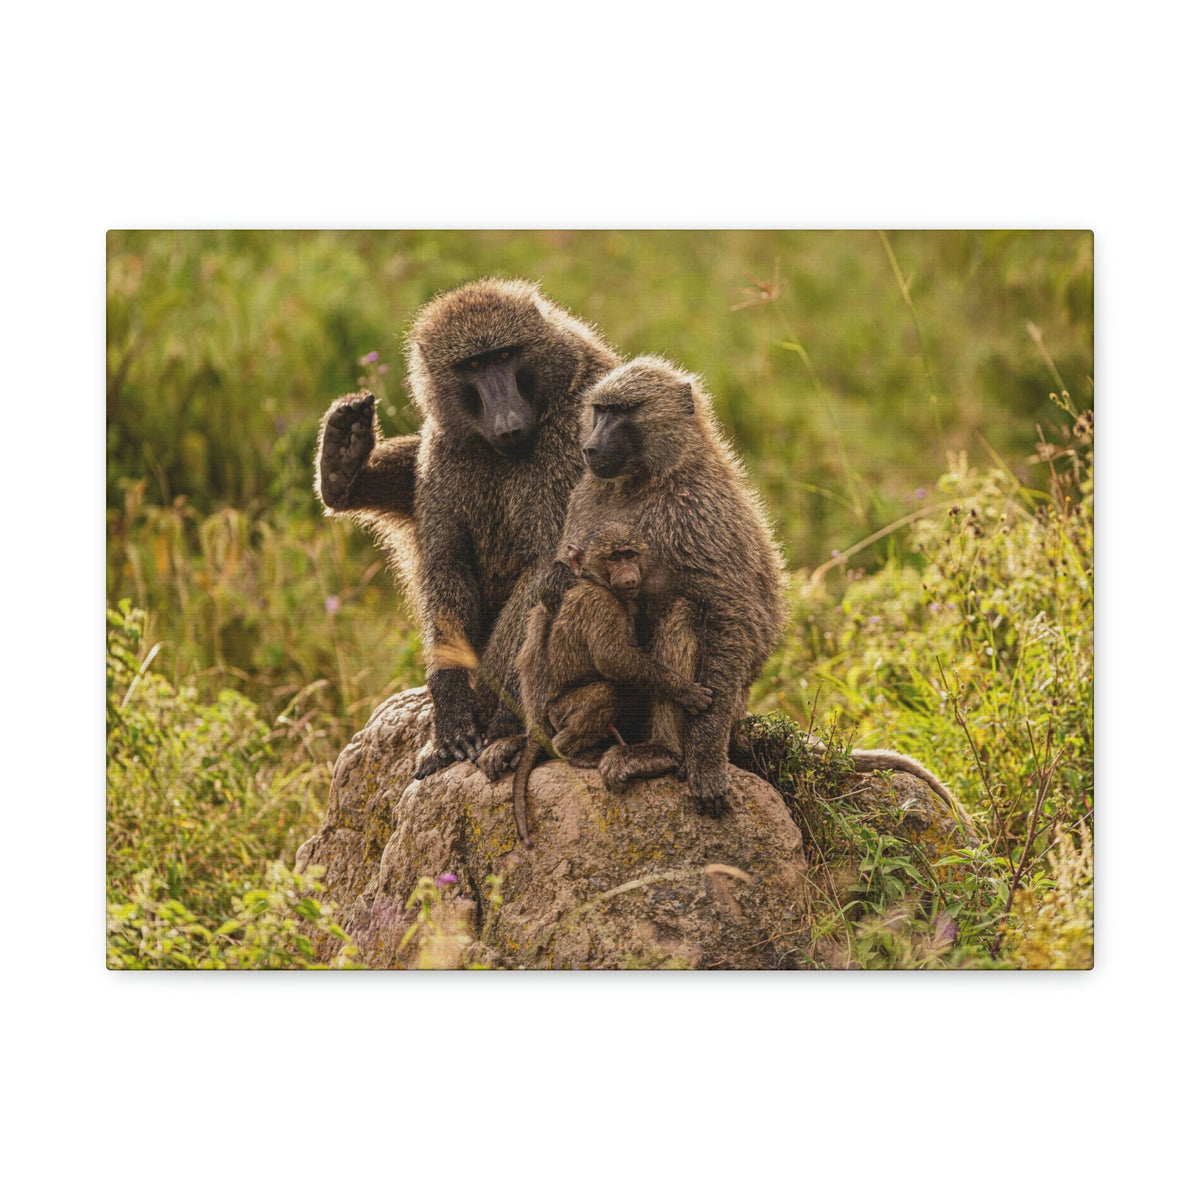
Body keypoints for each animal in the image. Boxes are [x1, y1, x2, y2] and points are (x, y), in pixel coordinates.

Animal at [313, 278, 621, 781]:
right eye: (473, 365)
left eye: (505, 356)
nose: (509, 422)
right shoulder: (448, 447)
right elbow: (446, 562)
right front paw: (454, 714)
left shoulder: (574, 443)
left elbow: (547, 572)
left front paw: (497, 726)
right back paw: (342, 470)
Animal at [494, 525, 713, 846]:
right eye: (613, 558)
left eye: (629, 554)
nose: (629, 575)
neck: (596, 581)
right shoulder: (601, 604)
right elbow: (614, 659)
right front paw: (685, 691)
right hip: (561, 712)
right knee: (605, 693)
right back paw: (570, 751)